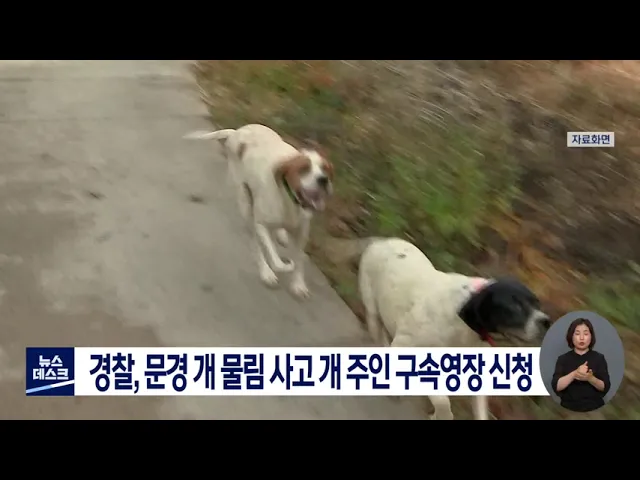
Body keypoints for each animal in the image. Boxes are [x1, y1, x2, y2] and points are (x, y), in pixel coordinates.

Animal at [184, 124, 333, 298]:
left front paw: (298, 284)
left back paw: (281, 235)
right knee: (256, 246)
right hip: (245, 205)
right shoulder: (261, 225)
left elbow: (300, 260)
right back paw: (266, 272)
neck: (289, 198)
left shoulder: (302, 232)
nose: (323, 180)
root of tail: (237, 132)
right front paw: (281, 267)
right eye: (304, 169)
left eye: (325, 169)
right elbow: (276, 260)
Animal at [358, 237, 551, 420]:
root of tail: (380, 241)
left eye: (538, 304)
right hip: (373, 308)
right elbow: (443, 402)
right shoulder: (407, 345)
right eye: (516, 305)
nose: (546, 321)